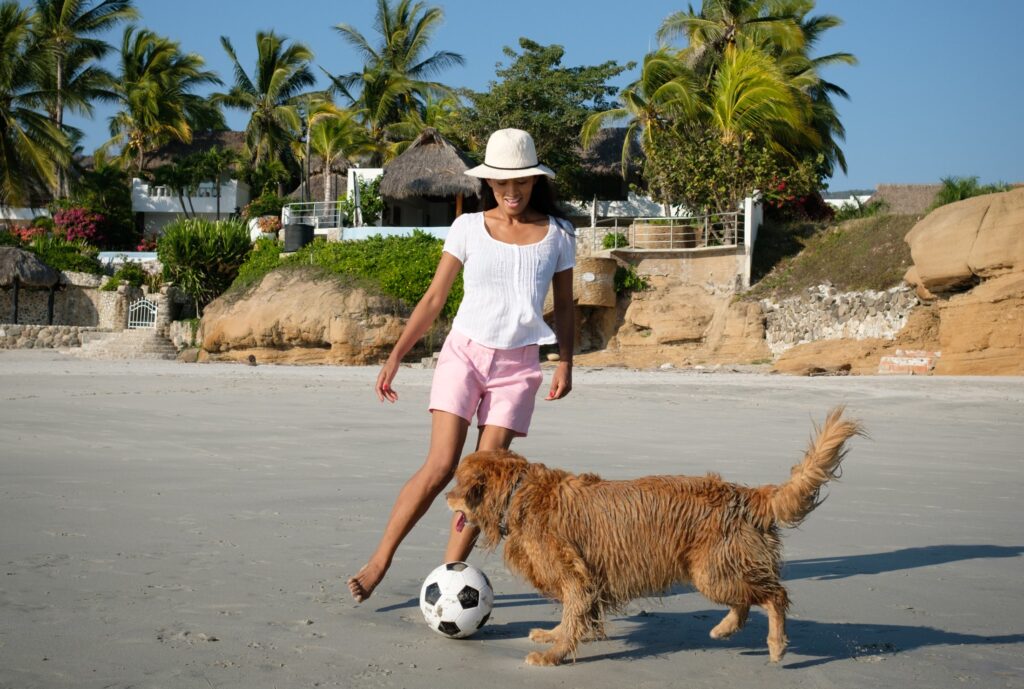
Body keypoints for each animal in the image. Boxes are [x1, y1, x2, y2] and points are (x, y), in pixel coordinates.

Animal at [448, 405, 864, 663]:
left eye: (457, 484)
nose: (447, 497)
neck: (520, 492)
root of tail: (748, 494)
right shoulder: (590, 578)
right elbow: (579, 617)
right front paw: (556, 636)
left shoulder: (574, 576)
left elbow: (573, 614)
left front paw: (553, 655)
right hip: (718, 570)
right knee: (748, 602)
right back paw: (725, 629)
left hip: (711, 572)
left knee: (775, 596)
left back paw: (776, 645)